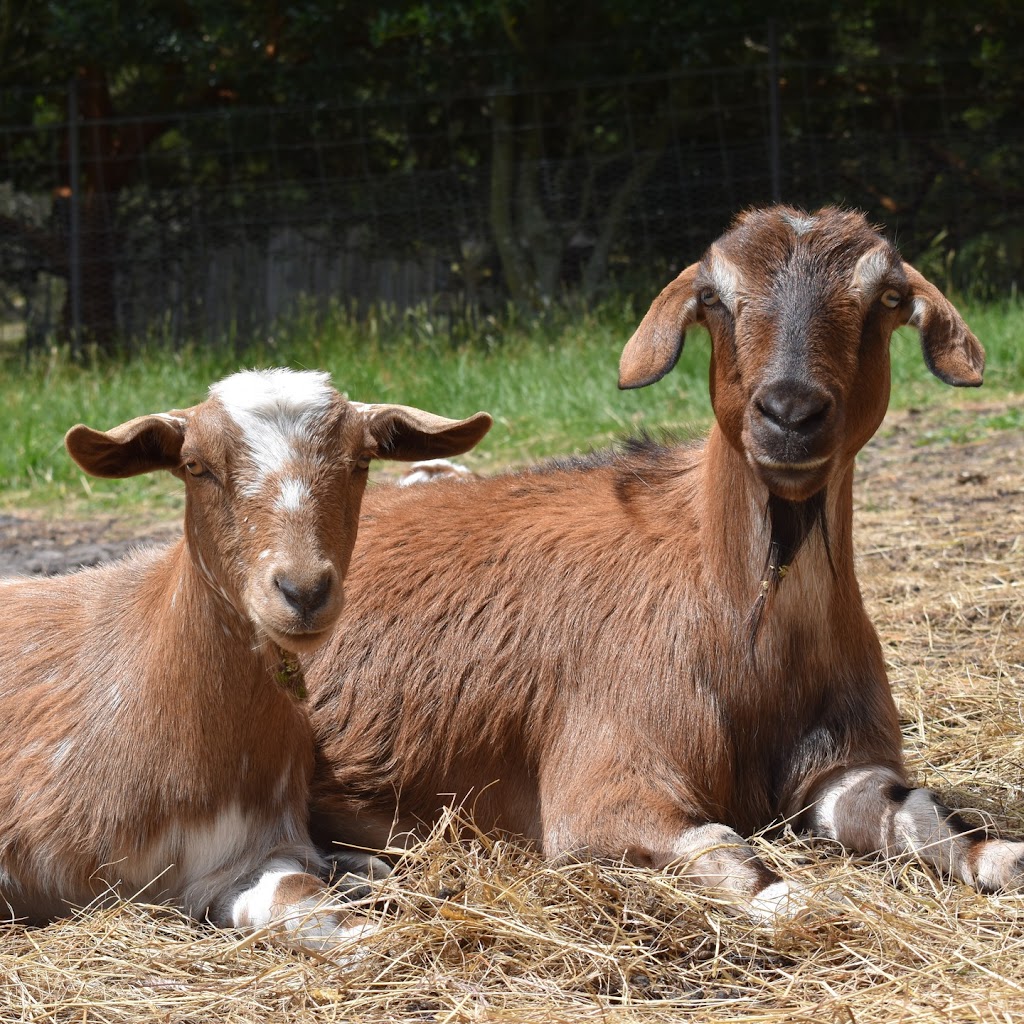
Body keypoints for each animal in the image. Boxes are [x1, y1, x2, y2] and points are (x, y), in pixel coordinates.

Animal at [305, 207, 1024, 917]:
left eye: (887, 297)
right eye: (713, 297)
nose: (790, 413)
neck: (750, 640)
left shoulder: (844, 764)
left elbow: (925, 814)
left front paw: (1002, 859)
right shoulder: (601, 789)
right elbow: (739, 860)